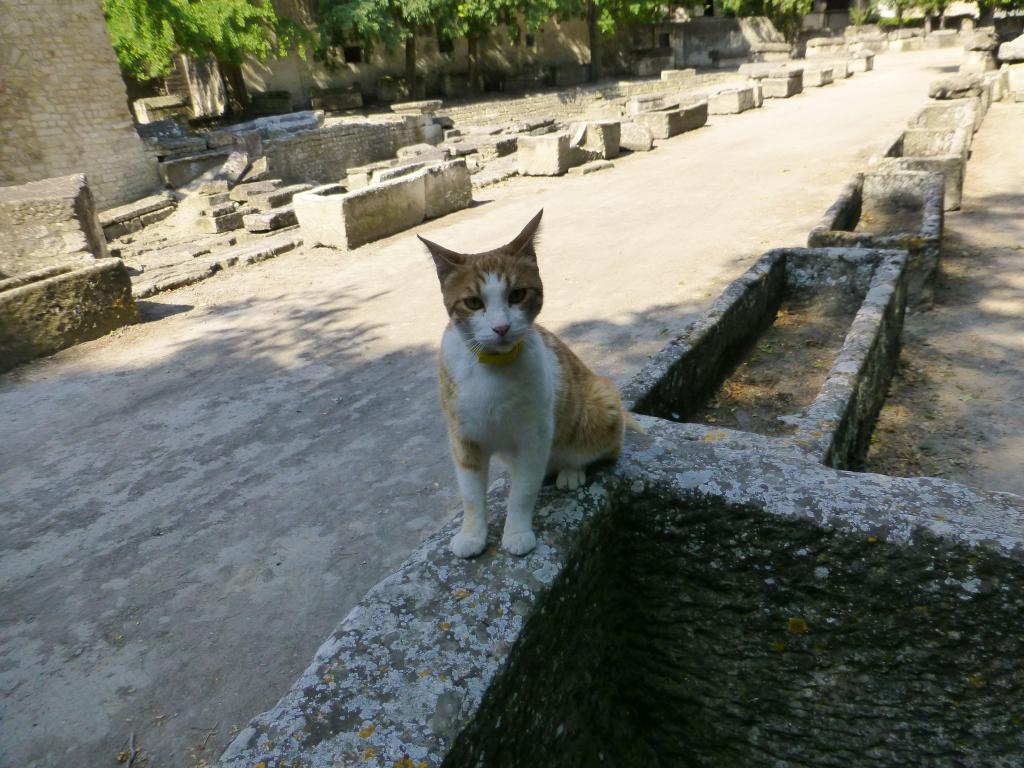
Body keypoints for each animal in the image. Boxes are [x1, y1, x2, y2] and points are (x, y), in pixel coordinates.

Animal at [419, 210, 626, 561]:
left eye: (517, 295)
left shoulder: (534, 436)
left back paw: (571, 470)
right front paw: (472, 534)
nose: (501, 327)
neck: (493, 367)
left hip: (601, 401)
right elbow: (471, 495)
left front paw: (516, 533)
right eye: (473, 303)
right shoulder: (464, 437)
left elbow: (522, 491)